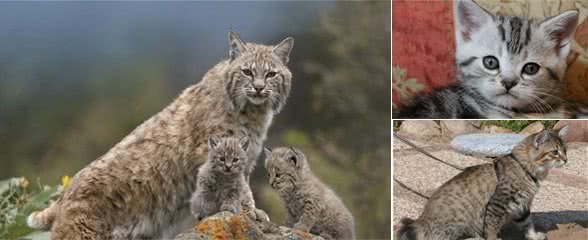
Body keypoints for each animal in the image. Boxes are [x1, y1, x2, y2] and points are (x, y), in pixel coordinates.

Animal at [27, 32, 294, 240]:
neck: (253, 111)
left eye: (271, 74)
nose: (259, 88)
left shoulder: (244, 158)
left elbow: (241, 185)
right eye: (247, 72)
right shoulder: (213, 154)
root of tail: (63, 195)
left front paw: (251, 213)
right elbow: (239, 189)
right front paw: (248, 214)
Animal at [396, 126, 568, 239]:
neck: (523, 167)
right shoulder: (498, 203)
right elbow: (491, 228)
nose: (566, 160)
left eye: (565, 150)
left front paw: (533, 236)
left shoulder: (522, 205)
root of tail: (420, 222)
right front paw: (494, 239)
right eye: (555, 152)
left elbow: (527, 223)